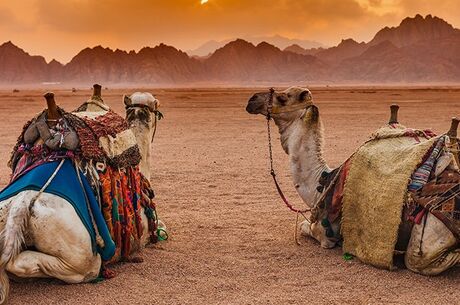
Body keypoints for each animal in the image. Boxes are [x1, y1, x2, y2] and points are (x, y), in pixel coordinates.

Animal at [246, 86, 460, 276]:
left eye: (283, 98)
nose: (252, 99)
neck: (321, 182)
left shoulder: (324, 234)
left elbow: (304, 227)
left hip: (426, 242)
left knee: (419, 259)